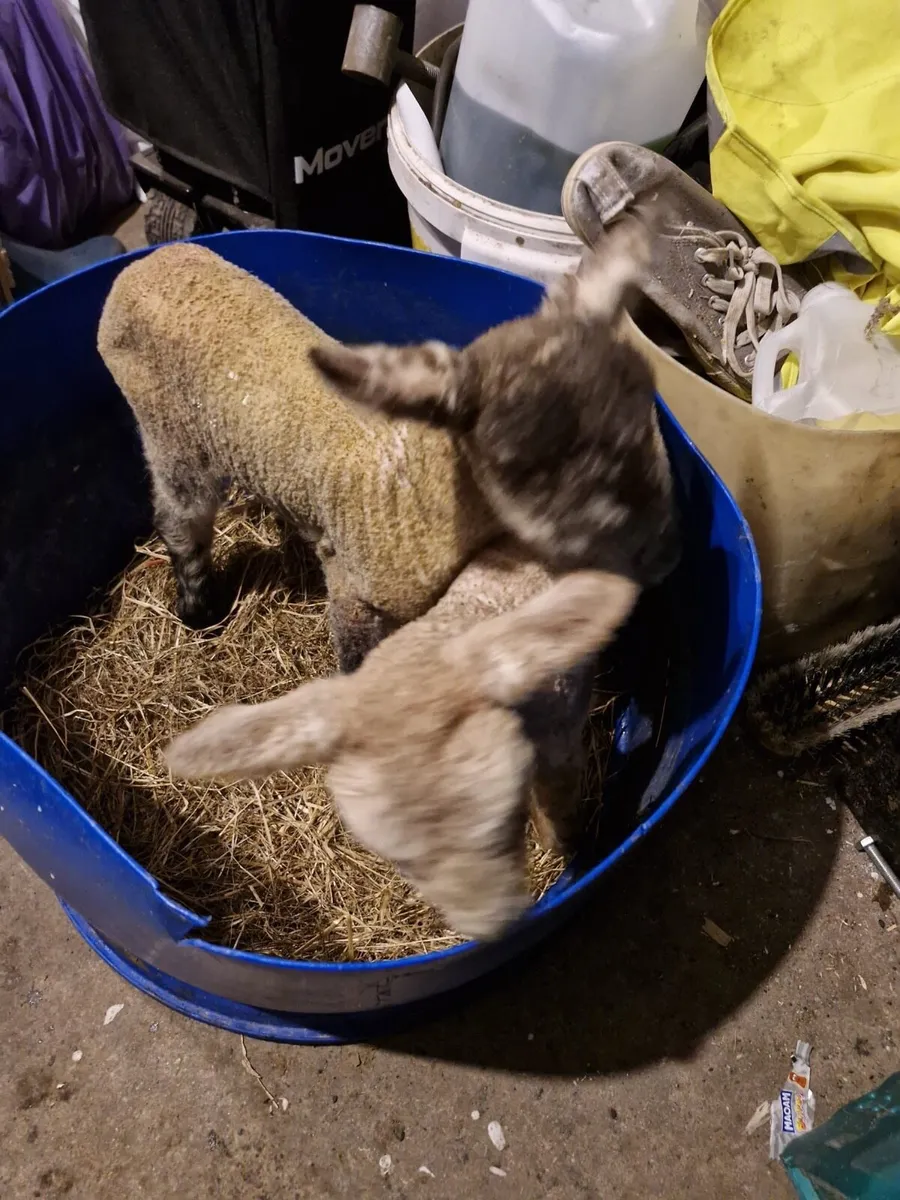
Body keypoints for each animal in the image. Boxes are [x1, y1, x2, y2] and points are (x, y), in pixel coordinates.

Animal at [97, 242, 499, 672]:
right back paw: (200, 612)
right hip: (167, 425)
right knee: (180, 518)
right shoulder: (352, 587)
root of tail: (143, 263)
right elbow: (358, 659)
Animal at [166, 540, 638, 940]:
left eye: (507, 822)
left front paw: (567, 848)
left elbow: (558, 802)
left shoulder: (560, 737)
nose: (494, 930)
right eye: (405, 865)